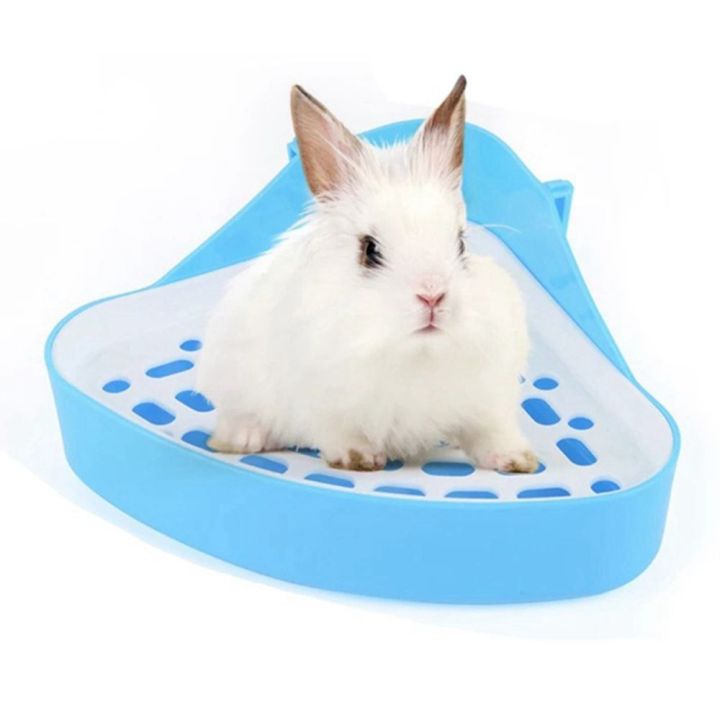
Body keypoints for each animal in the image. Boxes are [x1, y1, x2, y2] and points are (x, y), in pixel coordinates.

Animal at [196, 76, 539, 473]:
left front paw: (518, 460)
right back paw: (242, 439)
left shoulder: (487, 401)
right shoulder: (321, 401)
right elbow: (337, 430)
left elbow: (490, 431)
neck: (415, 354)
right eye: (370, 250)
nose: (432, 295)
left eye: (461, 244)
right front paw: (358, 458)